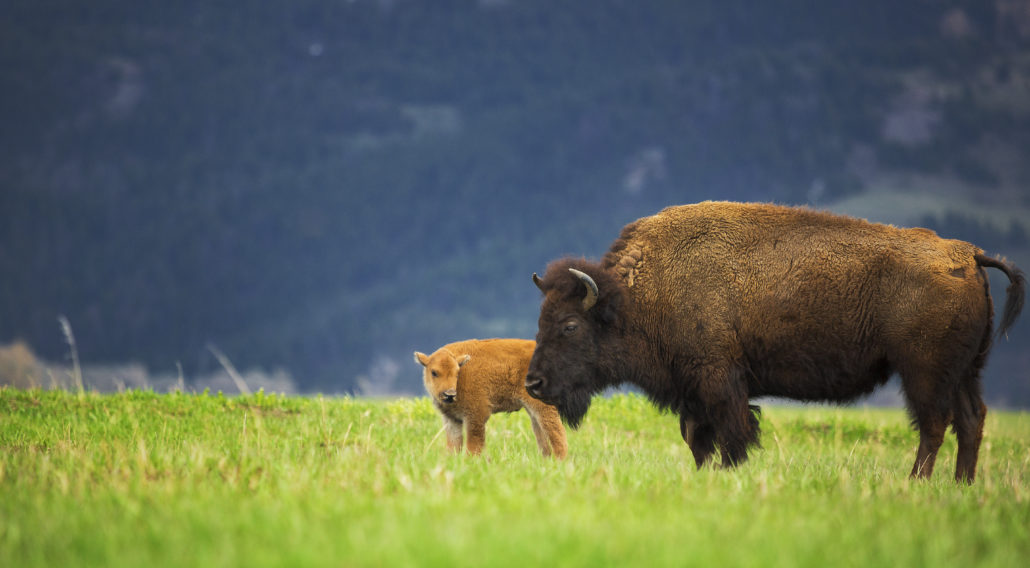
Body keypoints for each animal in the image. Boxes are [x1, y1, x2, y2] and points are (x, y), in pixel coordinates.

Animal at [415, 338, 567, 458]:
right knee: (542, 434)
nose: (449, 394)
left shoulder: (476, 415)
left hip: (543, 406)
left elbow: (474, 444)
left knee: (557, 431)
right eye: (434, 372)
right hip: (533, 410)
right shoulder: (452, 420)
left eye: (457, 373)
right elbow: (454, 444)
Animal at [524, 201, 1024, 482]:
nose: (533, 383)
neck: (637, 294)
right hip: (965, 372)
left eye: (569, 325)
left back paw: (916, 483)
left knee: (935, 425)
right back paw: (961, 486)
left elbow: (732, 431)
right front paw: (705, 475)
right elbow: (696, 436)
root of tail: (967, 254)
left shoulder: (718, 378)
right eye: (541, 320)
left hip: (923, 372)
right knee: (971, 421)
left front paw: (728, 472)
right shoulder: (693, 388)